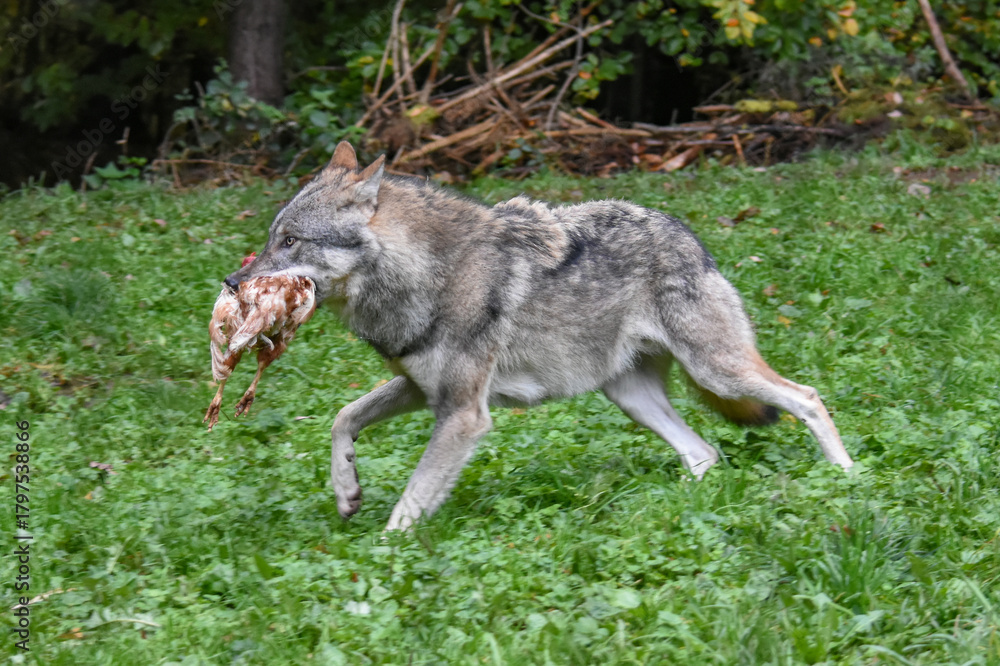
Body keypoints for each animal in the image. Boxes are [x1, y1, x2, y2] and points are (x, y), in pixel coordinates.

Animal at [224, 141, 854, 531]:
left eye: (290, 241)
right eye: (272, 236)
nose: (231, 282)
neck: (428, 273)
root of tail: (689, 236)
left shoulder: (463, 415)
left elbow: (409, 503)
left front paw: (381, 562)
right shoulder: (423, 390)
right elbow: (342, 419)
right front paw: (346, 490)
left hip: (717, 372)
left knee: (807, 398)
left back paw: (847, 479)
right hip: (633, 398)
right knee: (704, 453)